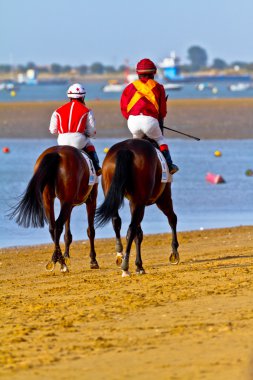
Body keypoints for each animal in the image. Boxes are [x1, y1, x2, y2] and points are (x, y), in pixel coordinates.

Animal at [8, 144, 99, 272]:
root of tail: (57, 153)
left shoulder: (68, 204)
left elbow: (67, 233)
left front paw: (66, 256)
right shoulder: (90, 201)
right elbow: (90, 231)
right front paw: (93, 260)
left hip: (48, 199)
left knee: (52, 227)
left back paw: (58, 260)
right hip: (67, 202)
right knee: (58, 226)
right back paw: (62, 263)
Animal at [95, 139, 180, 276]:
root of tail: (126, 149)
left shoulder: (132, 203)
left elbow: (138, 234)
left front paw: (139, 265)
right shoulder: (162, 197)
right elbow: (172, 219)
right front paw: (174, 253)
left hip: (113, 192)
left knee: (117, 221)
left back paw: (120, 255)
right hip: (144, 201)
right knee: (132, 228)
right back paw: (125, 266)